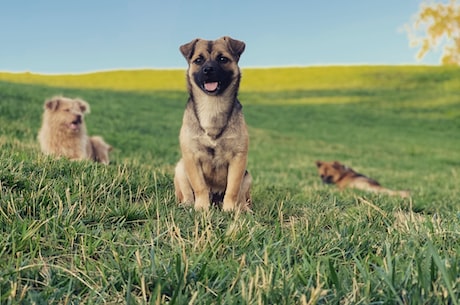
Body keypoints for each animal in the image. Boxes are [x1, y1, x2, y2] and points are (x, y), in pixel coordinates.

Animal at [173, 36, 252, 211]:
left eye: (222, 59)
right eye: (198, 60)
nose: (208, 70)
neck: (212, 105)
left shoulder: (238, 158)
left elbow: (233, 188)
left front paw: (229, 209)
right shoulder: (191, 157)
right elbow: (200, 186)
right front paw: (202, 208)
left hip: (248, 176)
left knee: (241, 195)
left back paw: (243, 209)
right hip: (180, 169)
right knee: (187, 193)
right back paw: (188, 205)